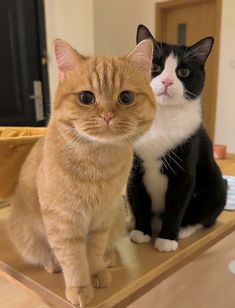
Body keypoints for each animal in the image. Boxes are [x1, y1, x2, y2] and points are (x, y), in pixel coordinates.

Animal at [7, 39, 157, 306]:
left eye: (126, 97)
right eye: (87, 97)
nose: (107, 115)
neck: (97, 161)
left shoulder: (101, 218)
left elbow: (93, 252)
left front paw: (96, 271)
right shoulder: (63, 221)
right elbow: (73, 259)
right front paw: (79, 287)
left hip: (116, 216)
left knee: (107, 248)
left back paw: (109, 258)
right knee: (46, 256)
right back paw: (52, 264)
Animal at [127, 25, 227, 251]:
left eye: (183, 72)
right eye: (155, 66)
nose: (166, 81)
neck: (161, 117)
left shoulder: (185, 171)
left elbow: (177, 205)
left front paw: (167, 239)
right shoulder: (134, 170)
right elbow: (139, 199)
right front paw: (142, 231)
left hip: (217, 186)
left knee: (207, 217)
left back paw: (184, 229)